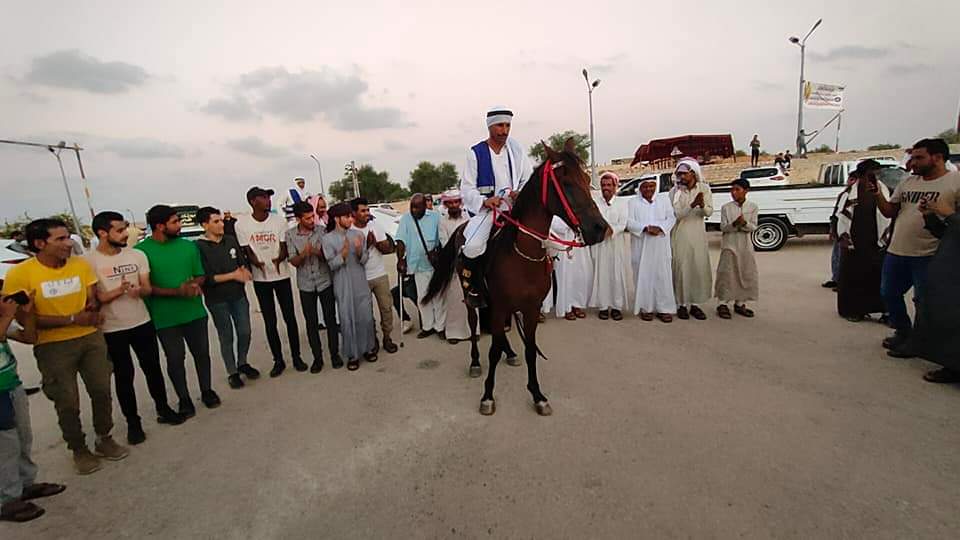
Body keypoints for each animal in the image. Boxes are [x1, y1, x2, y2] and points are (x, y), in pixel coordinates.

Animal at [422, 139, 609, 416]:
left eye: (587, 178)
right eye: (566, 182)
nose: (599, 229)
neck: (522, 255)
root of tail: (461, 228)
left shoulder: (530, 308)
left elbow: (530, 349)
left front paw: (537, 395)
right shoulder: (500, 305)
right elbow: (492, 351)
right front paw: (488, 396)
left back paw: (509, 353)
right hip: (472, 298)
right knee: (474, 325)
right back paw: (475, 362)